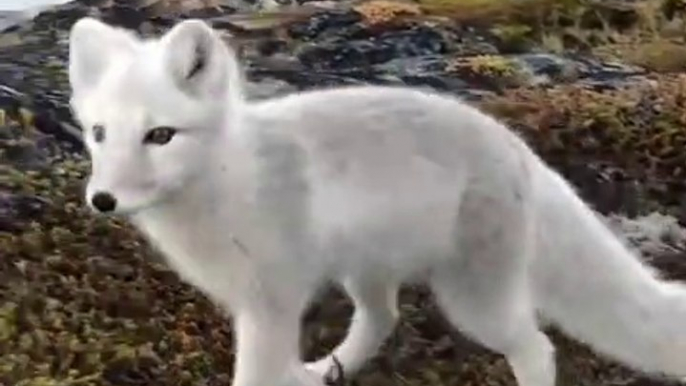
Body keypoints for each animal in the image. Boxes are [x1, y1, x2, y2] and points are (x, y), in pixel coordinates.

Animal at [67, 16, 686, 386]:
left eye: (160, 135)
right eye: (98, 133)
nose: (103, 200)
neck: (229, 181)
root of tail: (517, 147)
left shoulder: (271, 304)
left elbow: (257, 374)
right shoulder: (261, 306)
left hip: (472, 299)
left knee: (537, 346)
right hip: (365, 270)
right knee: (383, 317)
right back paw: (325, 370)